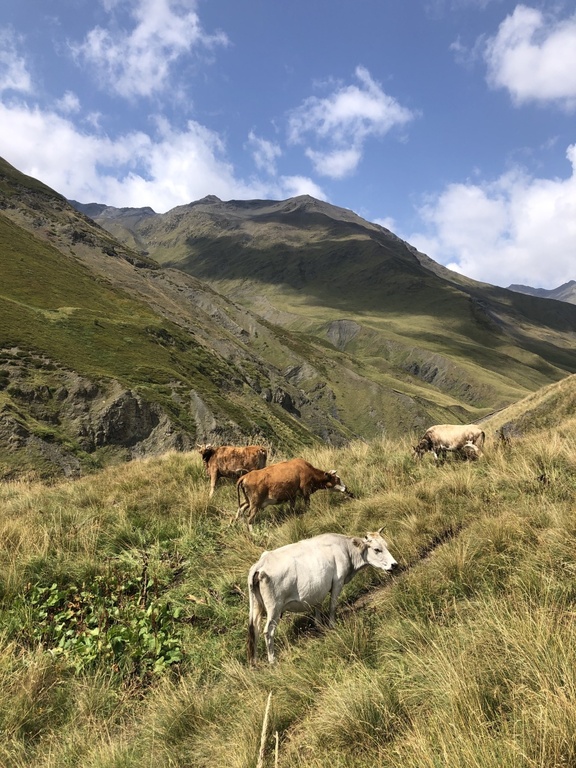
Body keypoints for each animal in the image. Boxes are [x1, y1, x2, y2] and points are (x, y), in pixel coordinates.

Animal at [245, 532, 398, 664]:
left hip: (256, 606)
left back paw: (255, 661)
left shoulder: (318, 588)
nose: (394, 564)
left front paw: (319, 625)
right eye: (377, 549)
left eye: (386, 545)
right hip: (274, 608)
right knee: (268, 631)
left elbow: (318, 605)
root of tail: (261, 563)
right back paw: (272, 660)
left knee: (255, 630)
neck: (345, 549)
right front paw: (332, 625)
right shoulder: (338, 582)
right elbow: (332, 605)